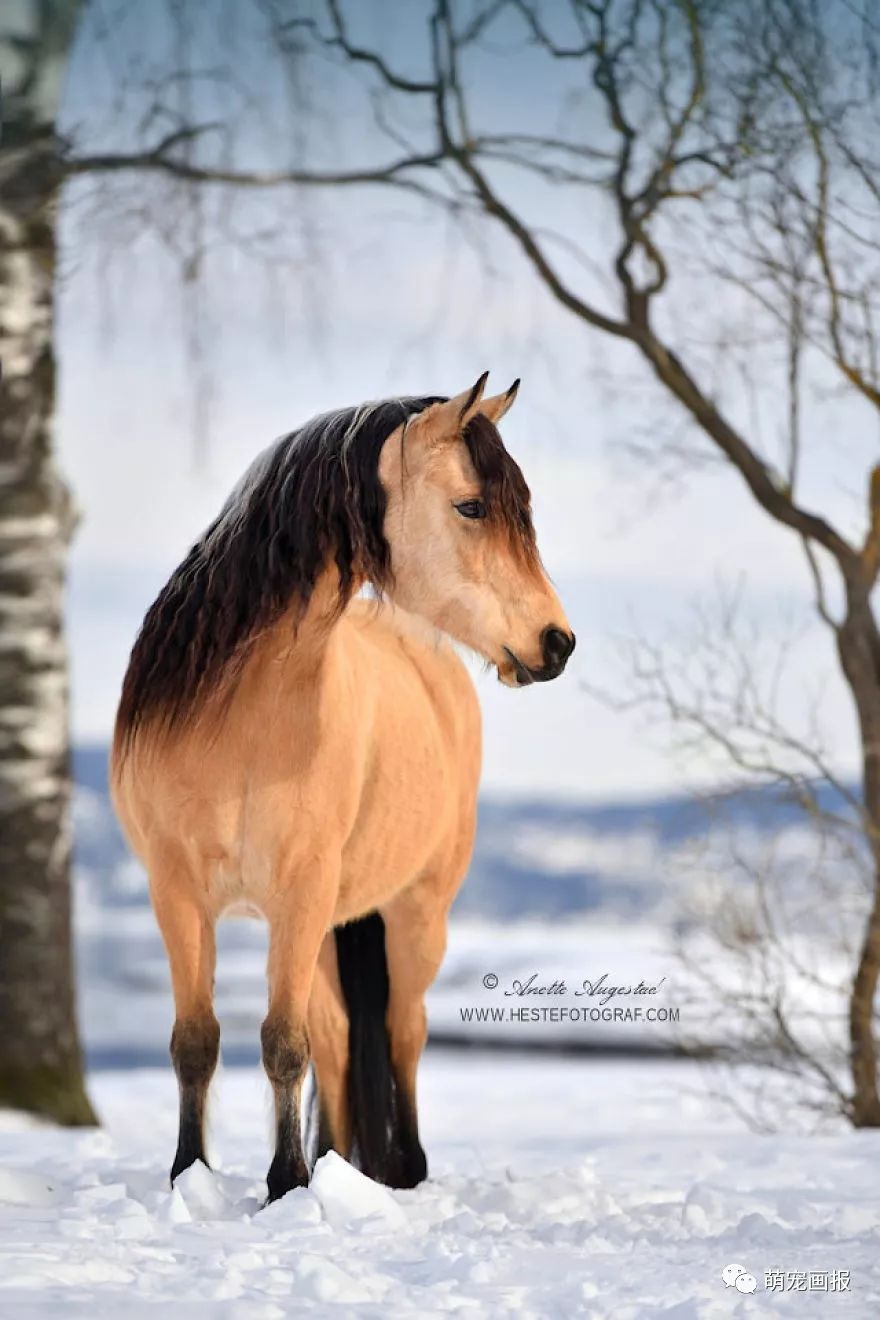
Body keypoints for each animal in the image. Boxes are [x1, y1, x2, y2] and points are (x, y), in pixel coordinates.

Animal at [110, 372, 575, 1198]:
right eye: (472, 506)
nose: (556, 643)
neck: (240, 723)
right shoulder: (178, 893)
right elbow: (199, 1042)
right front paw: (190, 1177)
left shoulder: (300, 893)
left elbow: (282, 1043)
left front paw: (286, 1185)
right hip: (331, 924)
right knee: (336, 1034)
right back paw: (336, 1159)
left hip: (414, 914)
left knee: (401, 1030)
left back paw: (404, 1170)